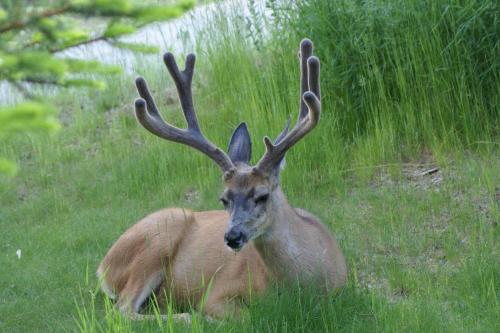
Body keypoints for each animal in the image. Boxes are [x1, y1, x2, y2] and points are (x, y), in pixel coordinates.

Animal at [97, 39, 348, 322]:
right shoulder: (218, 292)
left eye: (262, 195)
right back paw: (186, 316)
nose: (232, 237)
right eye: (224, 199)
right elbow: (245, 315)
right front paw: (204, 316)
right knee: (123, 310)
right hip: (157, 239)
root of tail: (103, 267)